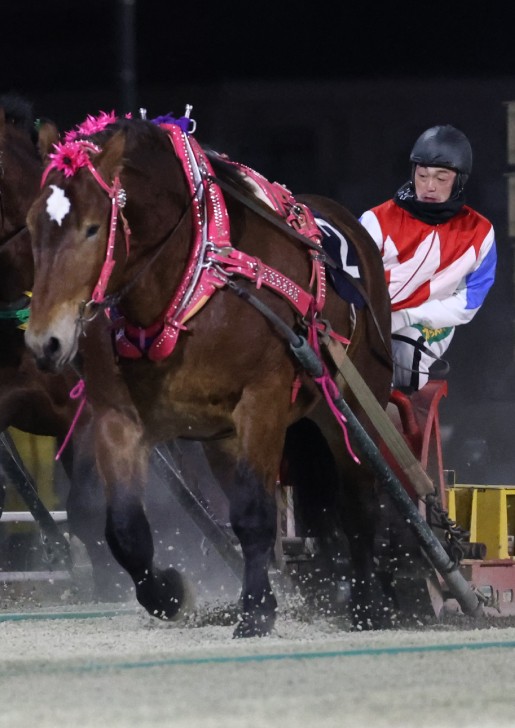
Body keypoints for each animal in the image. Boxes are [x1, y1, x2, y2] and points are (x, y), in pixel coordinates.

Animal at [25, 110, 393, 636]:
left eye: (93, 229)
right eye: (33, 225)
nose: (44, 342)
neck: (192, 278)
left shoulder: (263, 401)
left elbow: (257, 515)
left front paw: (256, 611)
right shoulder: (118, 418)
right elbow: (125, 530)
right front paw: (169, 593)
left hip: (354, 401)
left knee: (358, 504)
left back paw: (367, 606)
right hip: (226, 438)